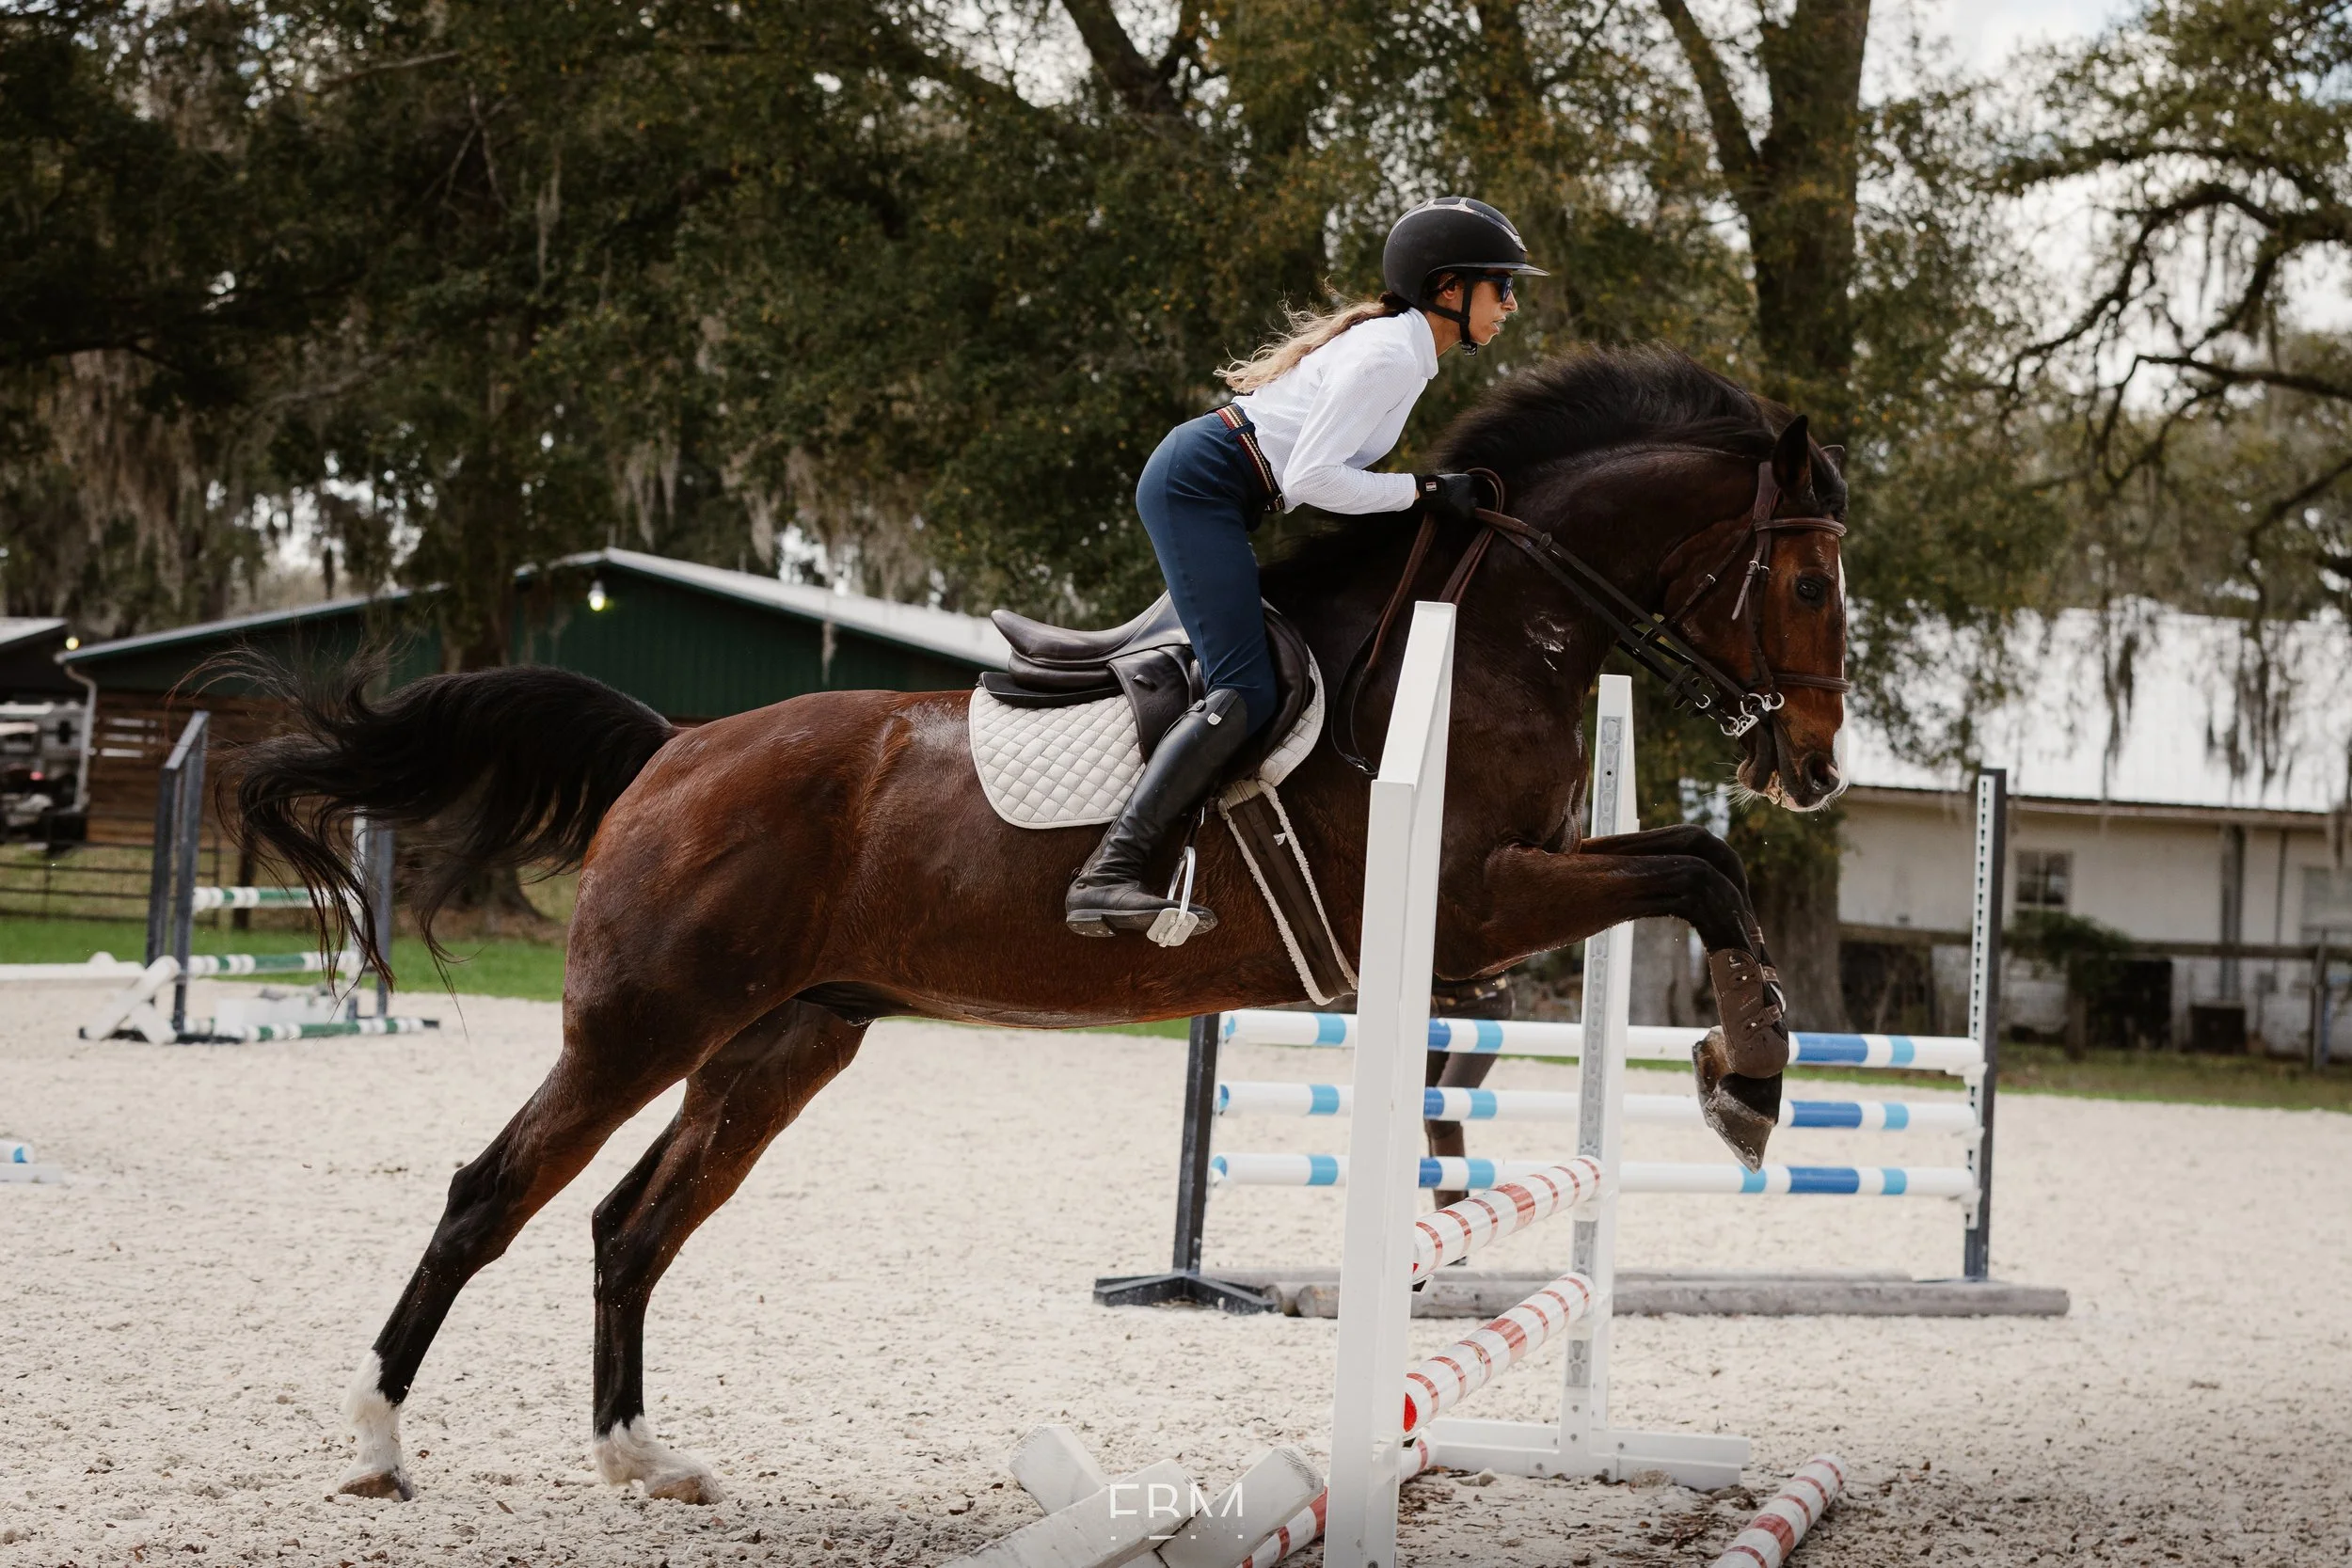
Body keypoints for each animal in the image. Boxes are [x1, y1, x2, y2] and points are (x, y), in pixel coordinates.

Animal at [231, 345, 1850, 1505]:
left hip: (782, 1039)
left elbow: (1692, 859)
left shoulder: (1517, 889)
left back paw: (641, 1454)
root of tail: (676, 746)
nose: (1818, 767)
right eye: (1805, 578)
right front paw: (1751, 1079)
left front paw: (1740, 1068)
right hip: (644, 1022)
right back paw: (377, 1442)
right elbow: (1704, 870)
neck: (1500, 627)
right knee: (489, 1193)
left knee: (633, 1223)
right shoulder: (1477, 897)